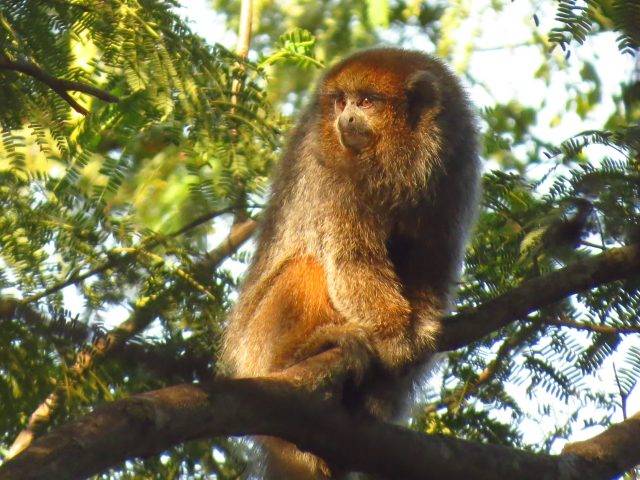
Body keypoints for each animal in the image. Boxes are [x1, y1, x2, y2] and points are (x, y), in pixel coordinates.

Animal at [222, 47, 481, 479]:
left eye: (367, 102)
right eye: (341, 102)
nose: (345, 119)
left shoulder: (454, 169)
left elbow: (433, 262)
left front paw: (423, 325)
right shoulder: (330, 172)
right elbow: (351, 260)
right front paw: (394, 335)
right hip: (254, 350)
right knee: (306, 268)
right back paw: (304, 353)